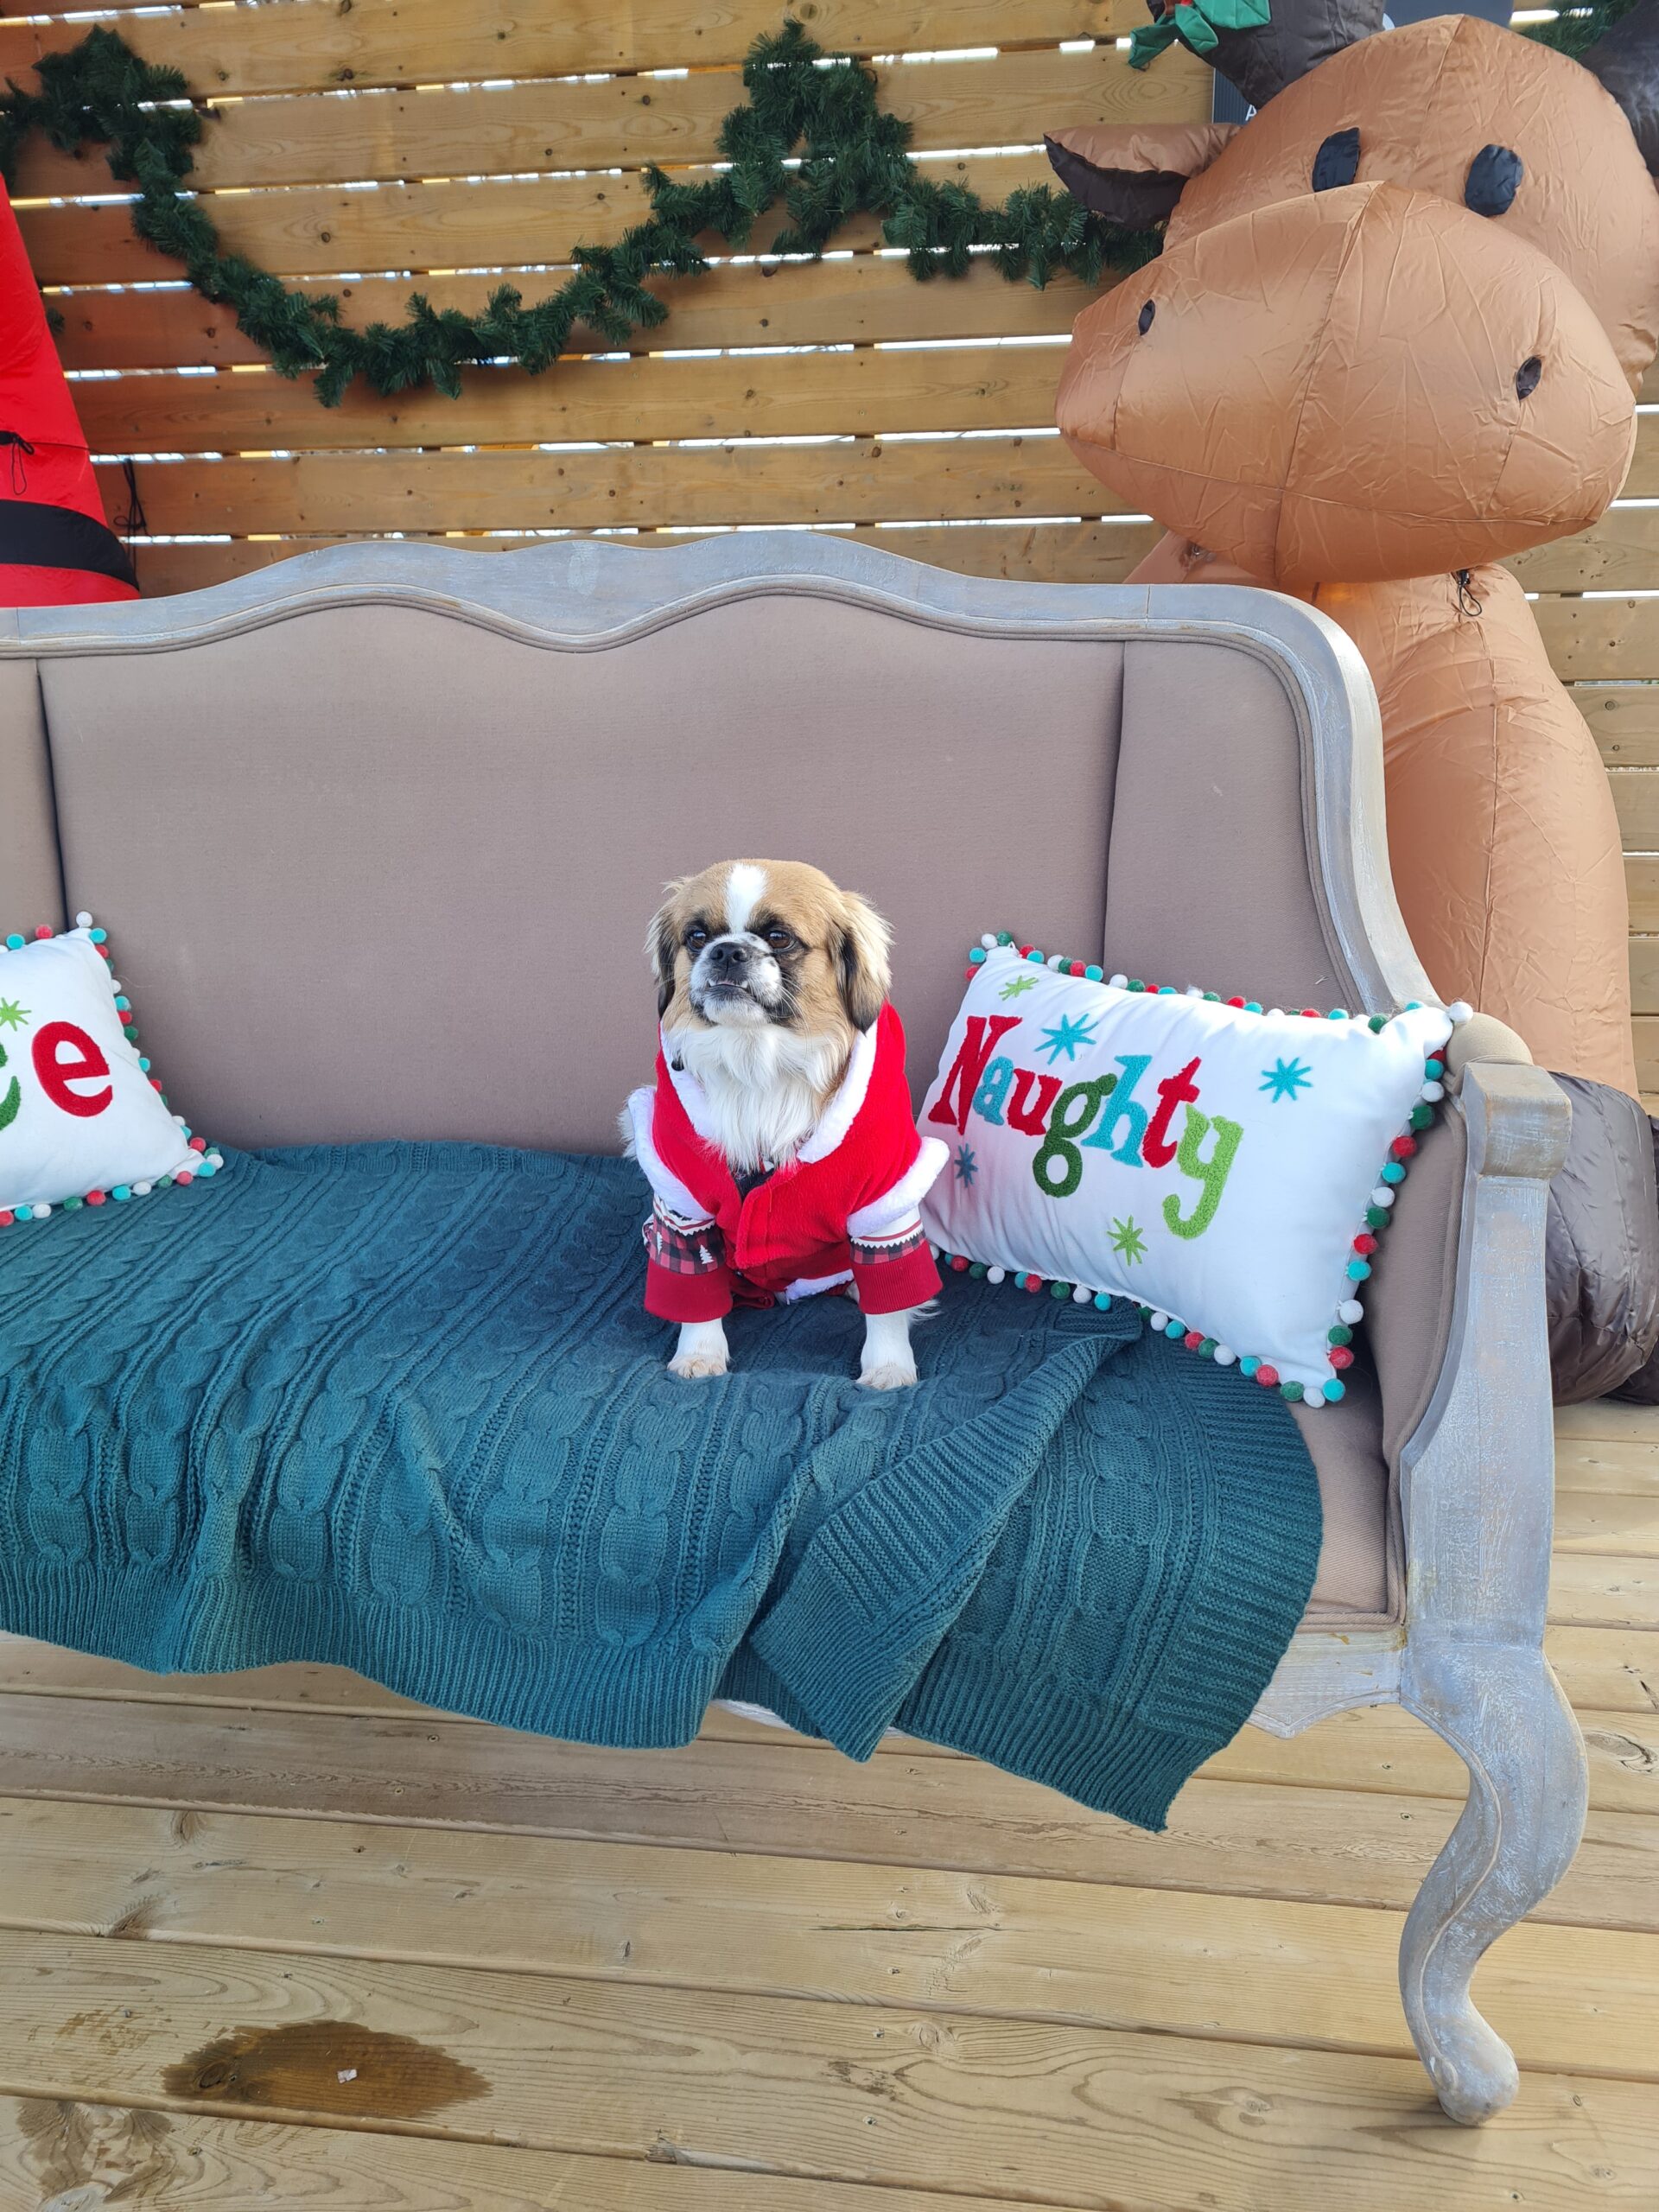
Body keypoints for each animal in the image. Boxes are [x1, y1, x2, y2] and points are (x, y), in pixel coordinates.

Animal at [628, 858, 946, 1380]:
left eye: (778, 938)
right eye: (697, 936)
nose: (727, 951)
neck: (758, 1060)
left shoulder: (884, 1200)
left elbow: (888, 1303)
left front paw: (888, 1368)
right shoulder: (682, 1201)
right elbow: (695, 1292)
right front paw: (699, 1355)